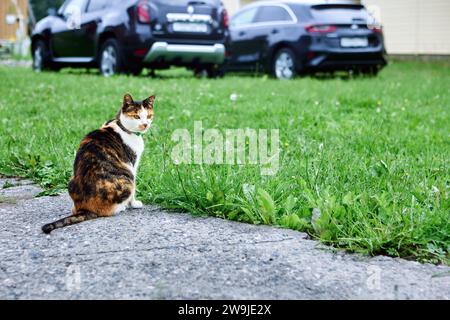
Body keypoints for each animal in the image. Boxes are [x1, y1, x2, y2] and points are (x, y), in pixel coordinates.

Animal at [42, 94, 155, 234]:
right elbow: (134, 191)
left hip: (71, 180)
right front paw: (134, 204)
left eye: (149, 116)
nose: (145, 124)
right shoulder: (132, 164)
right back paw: (121, 207)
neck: (122, 126)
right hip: (128, 177)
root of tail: (86, 208)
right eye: (136, 116)